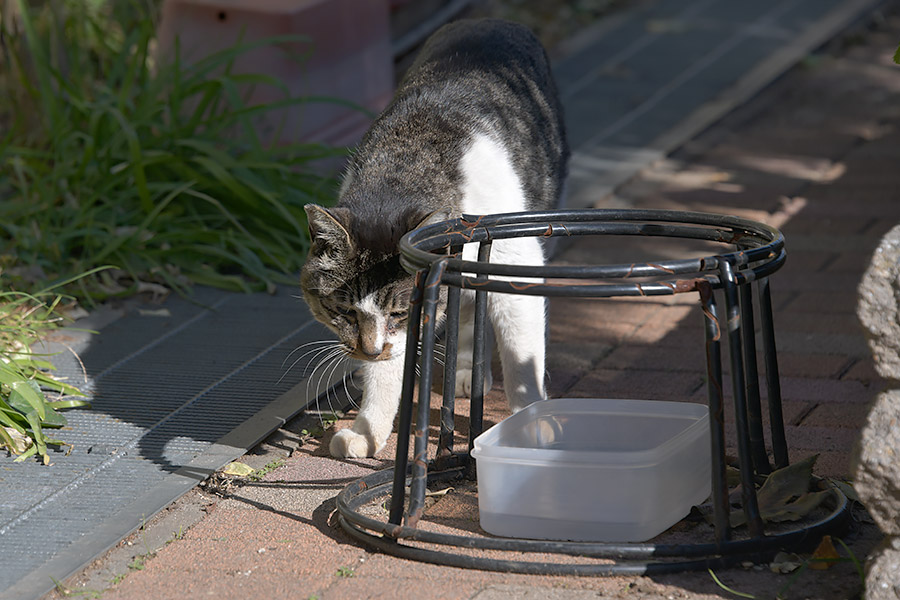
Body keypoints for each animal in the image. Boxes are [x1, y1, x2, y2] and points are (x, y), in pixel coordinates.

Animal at [302, 18, 568, 460]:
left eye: (396, 311)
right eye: (344, 311)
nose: (368, 350)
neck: (402, 171)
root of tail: (491, 19)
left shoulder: (517, 258)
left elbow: (521, 355)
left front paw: (532, 424)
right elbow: (388, 367)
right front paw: (367, 430)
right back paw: (464, 372)